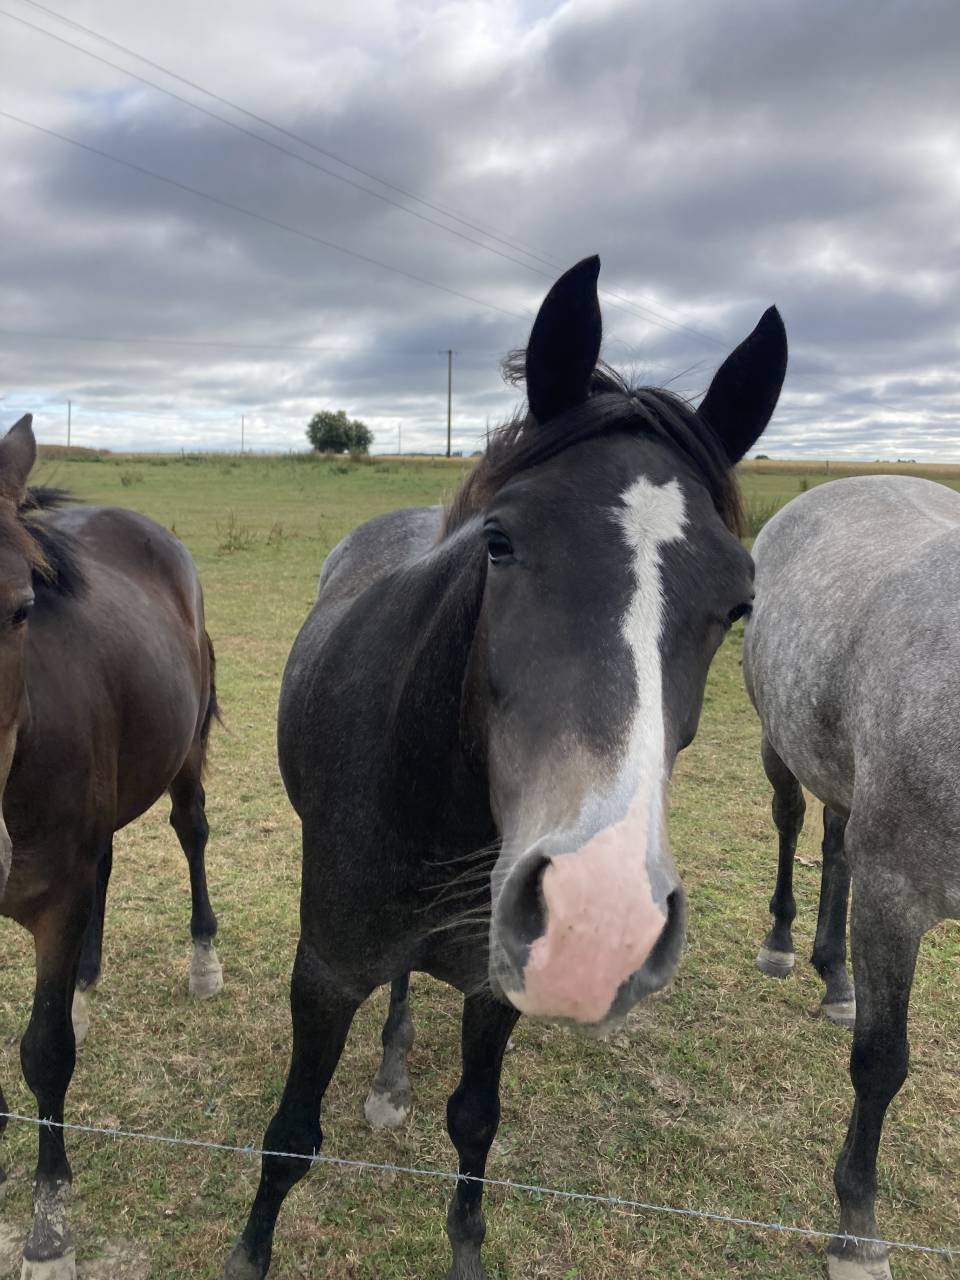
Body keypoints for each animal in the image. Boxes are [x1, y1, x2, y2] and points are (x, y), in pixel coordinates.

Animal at [0, 414, 221, 1280]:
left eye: (19, 610)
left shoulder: (53, 898)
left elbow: (45, 1052)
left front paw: (48, 1227)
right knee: (107, 864)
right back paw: (87, 984)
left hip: (183, 755)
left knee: (191, 833)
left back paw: (202, 961)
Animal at [225, 255, 787, 1280]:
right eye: (501, 541)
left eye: (740, 605)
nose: (599, 923)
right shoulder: (322, 973)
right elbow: (289, 1140)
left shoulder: (496, 991)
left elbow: (475, 1126)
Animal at [743, 474, 960, 1280]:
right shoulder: (894, 899)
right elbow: (880, 1061)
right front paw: (857, 1229)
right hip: (779, 742)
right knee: (792, 823)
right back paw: (783, 946)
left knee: (836, 849)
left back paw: (836, 979)